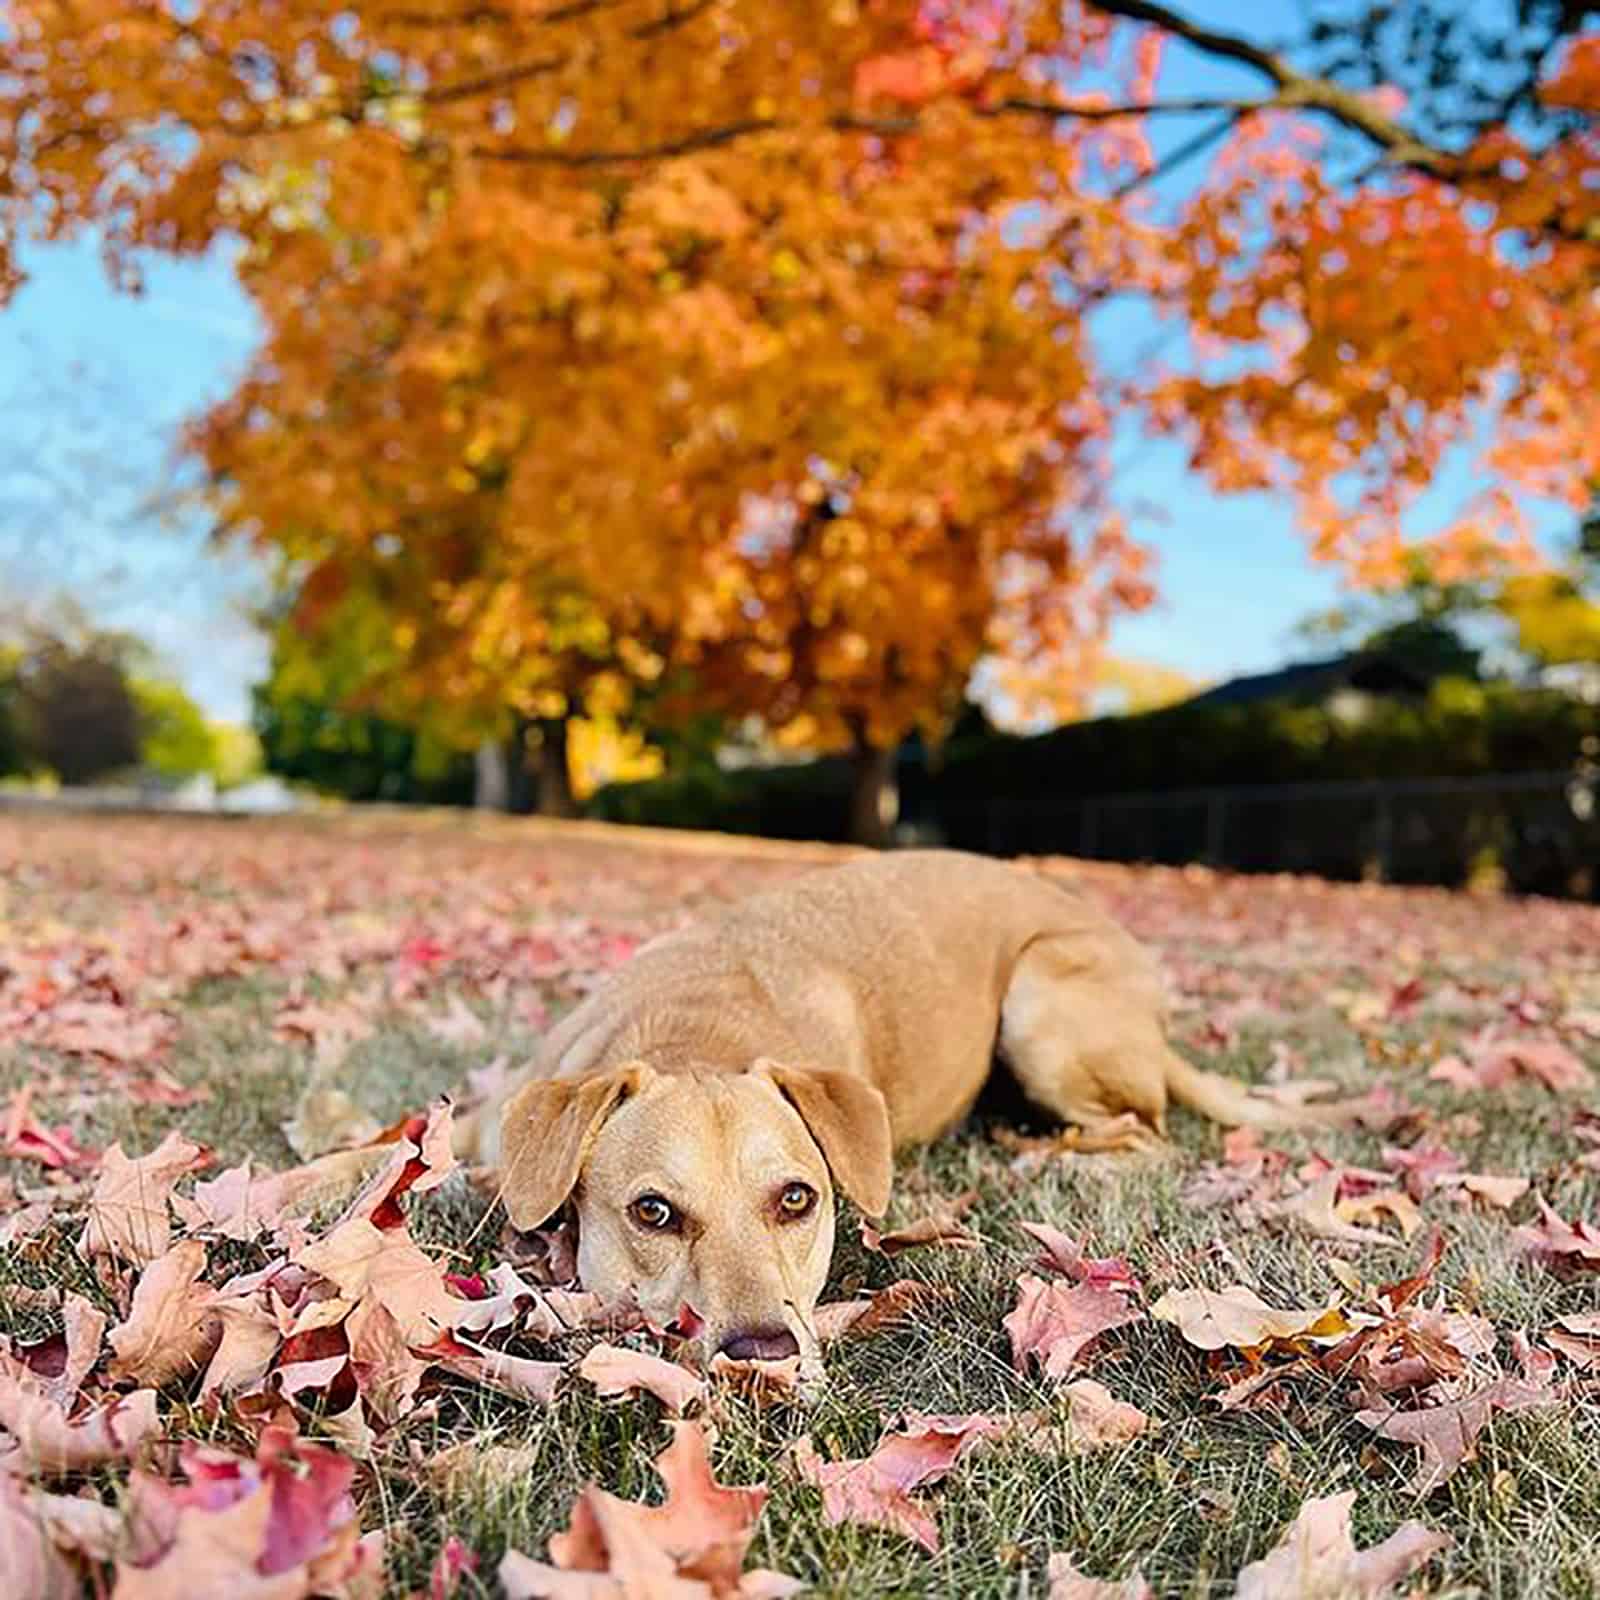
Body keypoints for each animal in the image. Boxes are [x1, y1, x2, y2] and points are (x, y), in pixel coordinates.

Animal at [464, 851, 1350, 1363]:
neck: (695, 1033)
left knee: (1143, 1132)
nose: (763, 1353)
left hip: (1041, 1003)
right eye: (652, 1213)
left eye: (797, 1200)